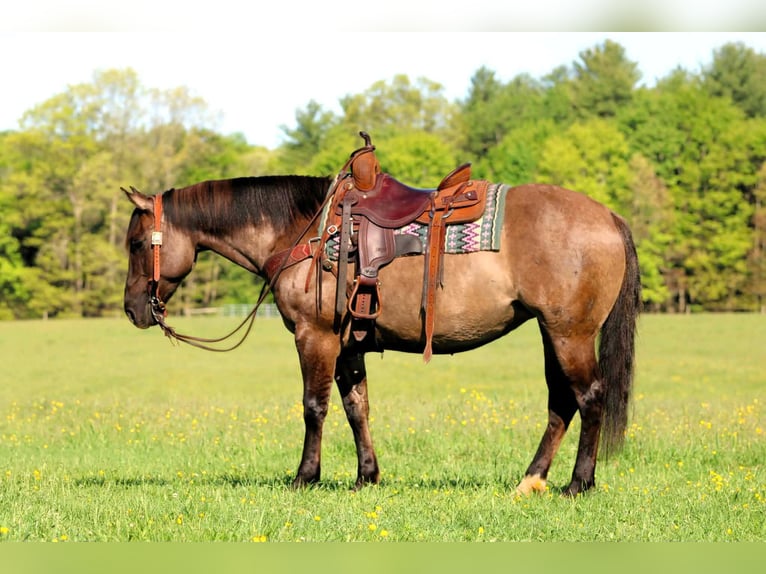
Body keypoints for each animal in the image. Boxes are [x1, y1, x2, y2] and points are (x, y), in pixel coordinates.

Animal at [122, 170, 640, 497]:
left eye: (135, 243)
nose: (132, 309)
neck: (302, 232)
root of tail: (609, 217)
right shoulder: (349, 346)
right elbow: (357, 409)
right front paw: (365, 476)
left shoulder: (315, 337)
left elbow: (314, 408)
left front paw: (305, 477)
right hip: (552, 334)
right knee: (561, 403)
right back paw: (531, 480)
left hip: (570, 334)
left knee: (589, 397)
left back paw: (578, 483)